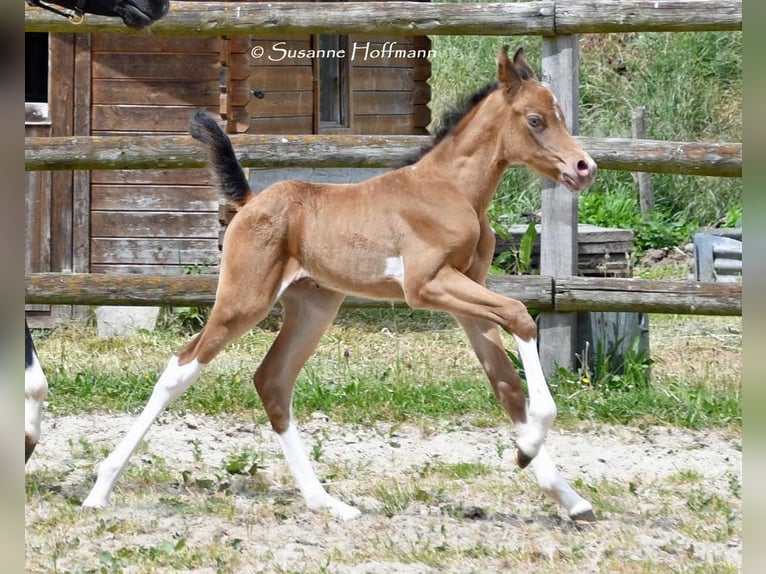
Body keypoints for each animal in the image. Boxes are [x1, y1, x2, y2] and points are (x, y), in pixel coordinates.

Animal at [81, 47, 598, 522]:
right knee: (182, 367)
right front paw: (529, 447)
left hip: (314, 306)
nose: (583, 167)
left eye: (559, 114)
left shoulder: (465, 293)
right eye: (535, 119)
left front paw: (560, 489)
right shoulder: (427, 286)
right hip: (243, 300)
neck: (450, 191)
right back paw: (99, 490)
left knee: (273, 381)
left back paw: (326, 502)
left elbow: (506, 384)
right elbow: (520, 317)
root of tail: (249, 202)